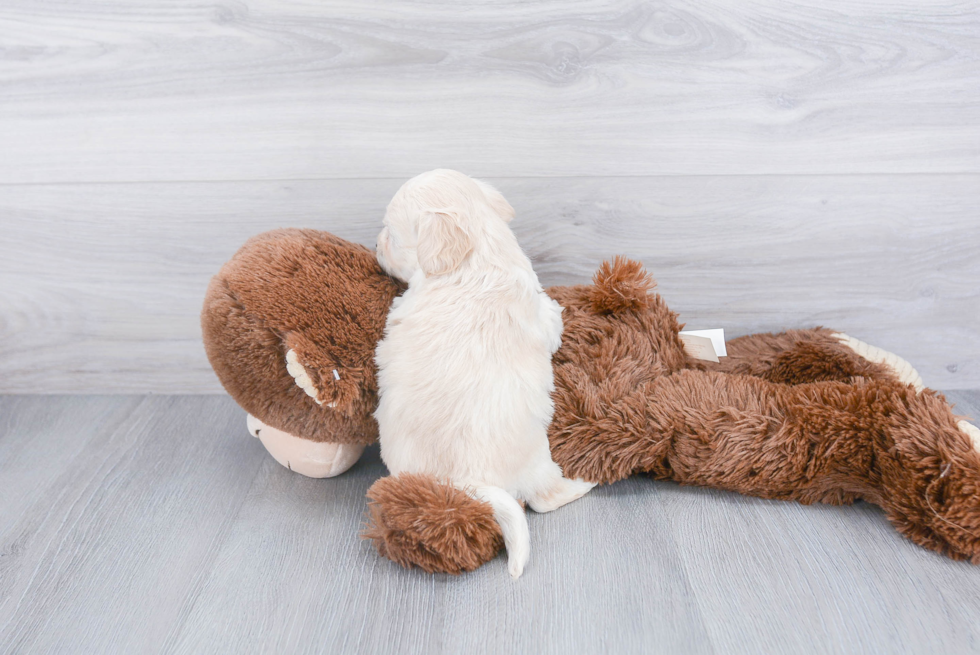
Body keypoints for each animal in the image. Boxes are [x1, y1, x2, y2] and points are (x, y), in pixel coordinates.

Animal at [374, 169, 588, 580]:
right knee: (545, 499)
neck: (477, 260)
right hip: (541, 459)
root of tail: (464, 480)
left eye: (391, 235)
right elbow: (551, 316)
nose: (376, 244)